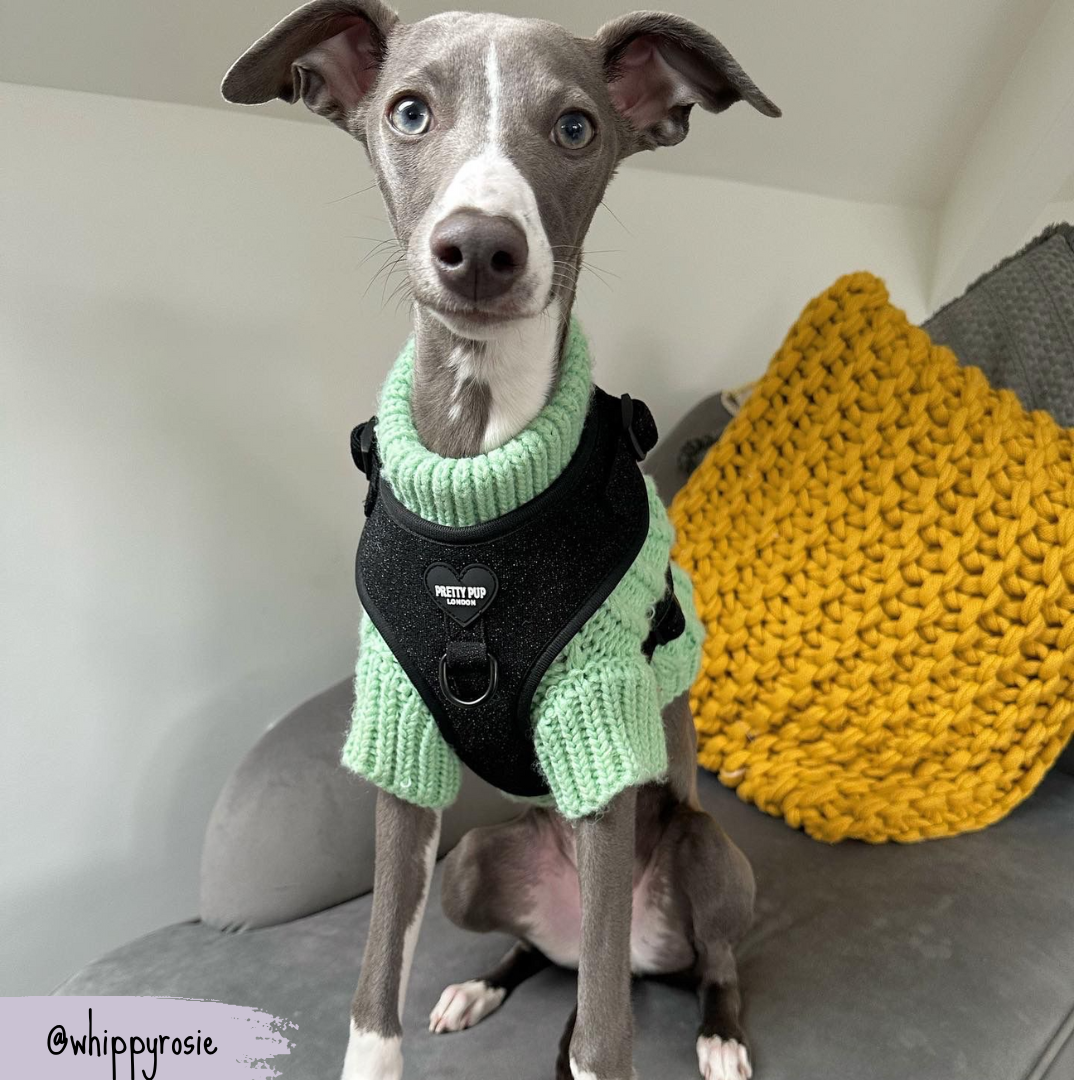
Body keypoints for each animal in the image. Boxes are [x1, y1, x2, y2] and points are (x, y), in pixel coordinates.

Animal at [221, 4, 777, 1075]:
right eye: (407, 111)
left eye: (576, 127)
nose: (479, 249)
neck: (481, 478)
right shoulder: (400, 743)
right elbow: (372, 992)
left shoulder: (601, 733)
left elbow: (602, 1034)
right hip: (479, 860)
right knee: (545, 953)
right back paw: (483, 985)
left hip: (702, 851)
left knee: (700, 963)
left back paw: (721, 1037)